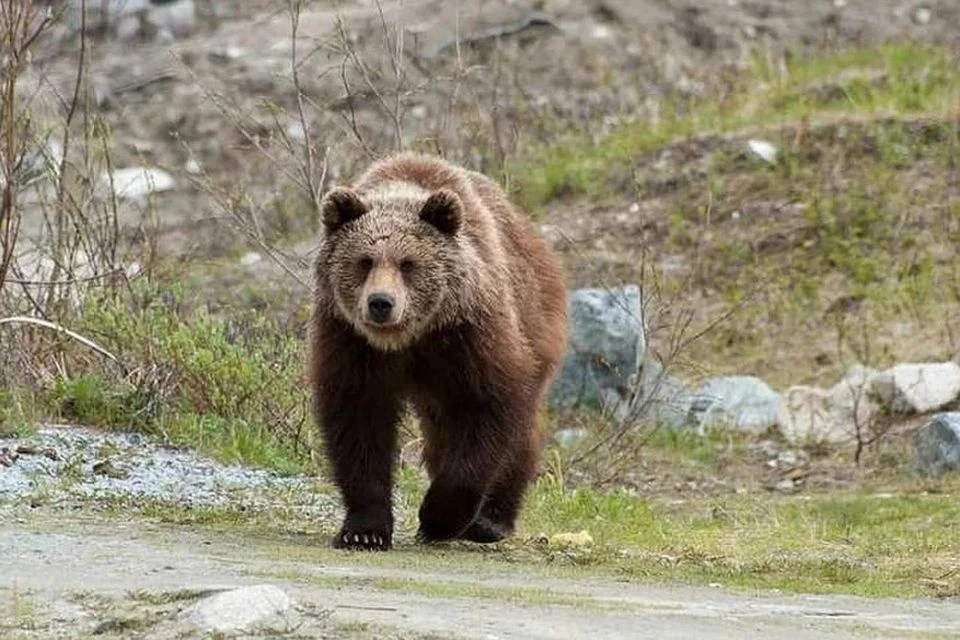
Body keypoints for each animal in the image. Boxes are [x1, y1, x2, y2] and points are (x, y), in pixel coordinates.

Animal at [308, 151, 568, 551]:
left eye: (408, 264)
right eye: (365, 261)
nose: (381, 303)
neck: (409, 339)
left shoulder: (469, 336)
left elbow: (487, 408)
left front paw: (438, 518)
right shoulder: (350, 342)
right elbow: (358, 420)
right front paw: (364, 530)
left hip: (536, 322)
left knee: (519, 435)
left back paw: (491, 521)